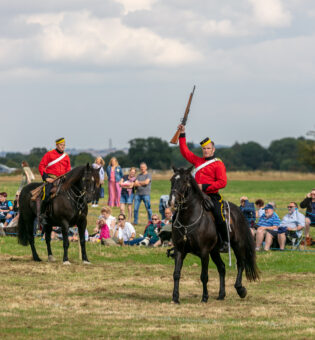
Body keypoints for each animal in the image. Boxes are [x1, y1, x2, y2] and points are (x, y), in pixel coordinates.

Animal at [169, 167, 260, 302]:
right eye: (172, 180)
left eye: (185, 181)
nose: (172, 201)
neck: (188, 220)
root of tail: (237, 210)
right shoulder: (180, 250)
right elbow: (176, 274)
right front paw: (175, 298)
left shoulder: (204, 252)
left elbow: (204, 276)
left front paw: (205, 297)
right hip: (215, 251)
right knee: (222, 267)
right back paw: (221, 294)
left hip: (237, 245)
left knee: (241, 263)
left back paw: (240, 289)